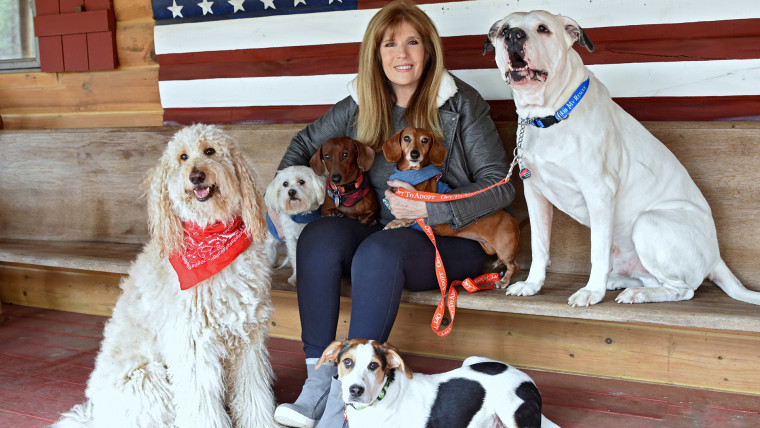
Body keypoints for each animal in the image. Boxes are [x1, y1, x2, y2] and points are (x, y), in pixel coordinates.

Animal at [55, 123, 280, 428]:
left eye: (210, 151)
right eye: (182, 157)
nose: (196, 176)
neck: (211, 235)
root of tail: (96, 416)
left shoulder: (248, 340)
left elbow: (253, 394)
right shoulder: (193, 346)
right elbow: (202, 407)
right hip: (148, 379)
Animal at [314, 340, 560, 428]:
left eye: (374, 365)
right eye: (347, 362)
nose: (355, 390)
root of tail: (529, 382)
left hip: (511, 412)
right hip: (472, 360)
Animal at [382, 127, 520, 288]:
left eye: (425, 140)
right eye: (406, 138)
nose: (415, 154)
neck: (411, 173)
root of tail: (513, 221)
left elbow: (404, 217)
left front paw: (394, 223)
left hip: (504, 249)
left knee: (514, 266)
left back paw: (503, 281)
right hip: (491, 249)